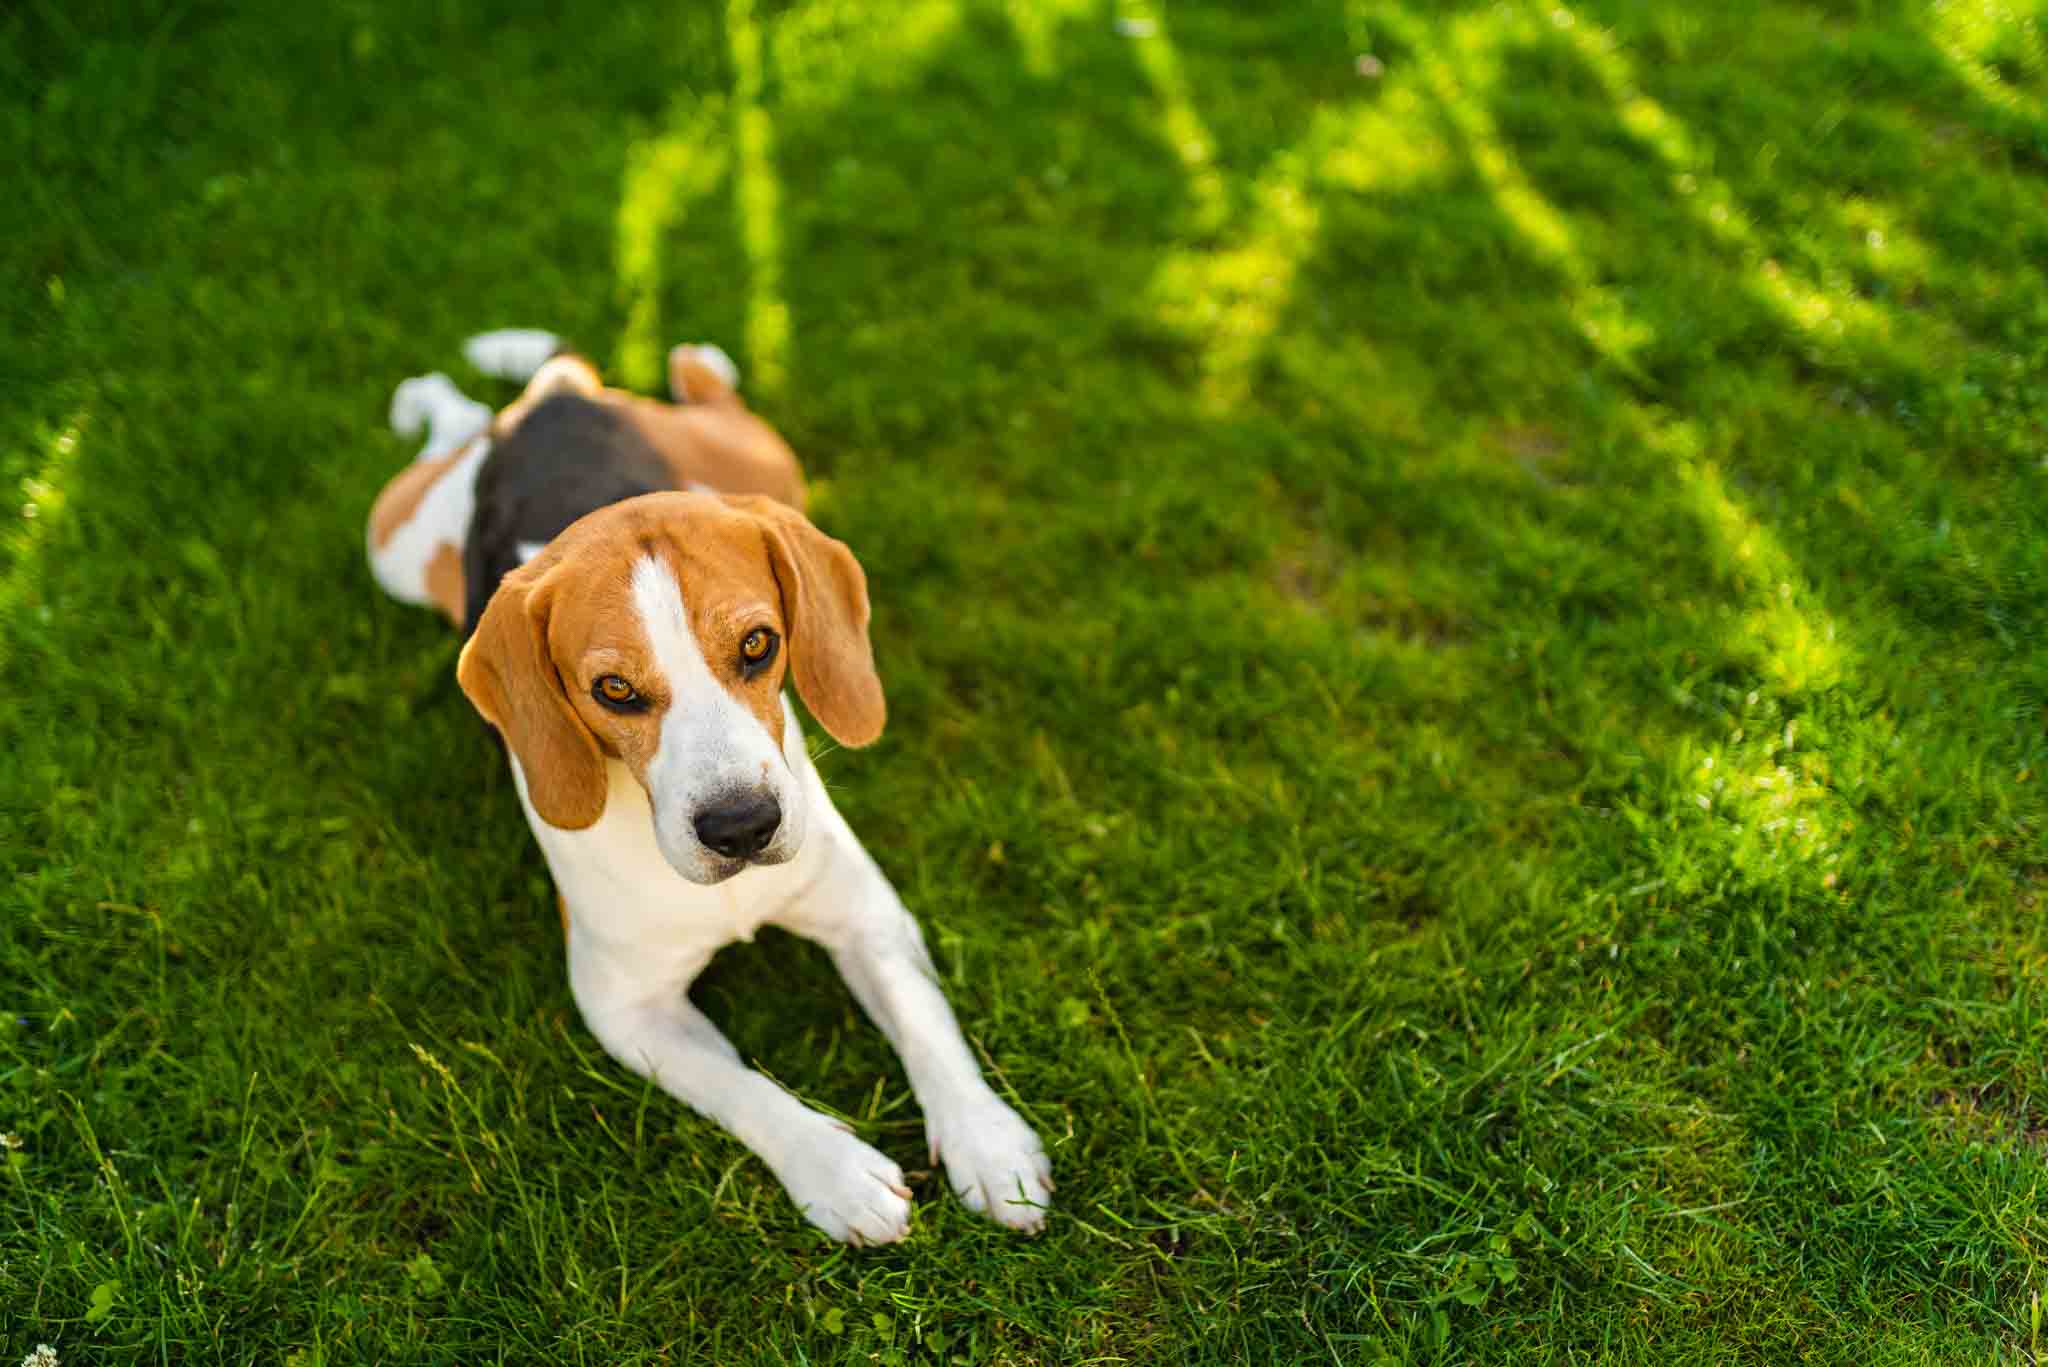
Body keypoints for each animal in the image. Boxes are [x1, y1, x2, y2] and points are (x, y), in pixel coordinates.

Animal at [362, 327, 1056, 1237]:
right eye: (613, 690)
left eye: (759, 645)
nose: (742, 827)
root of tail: (557, 402)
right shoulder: (625, 1007)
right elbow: (742, 1089)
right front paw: (835, 1170)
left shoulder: (869, 914)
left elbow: (924, 1021)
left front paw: (986, 1137)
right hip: (394, 543)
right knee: (457, 421)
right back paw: (440, 392)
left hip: (762, 464)